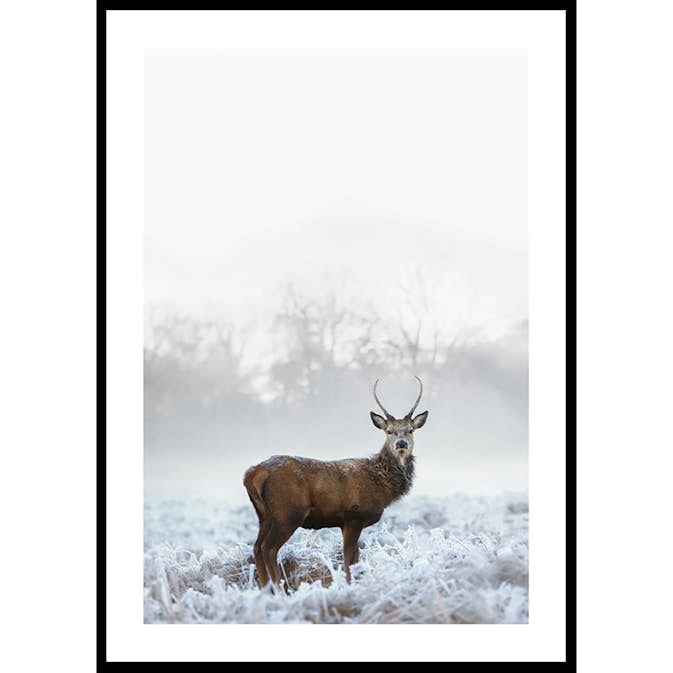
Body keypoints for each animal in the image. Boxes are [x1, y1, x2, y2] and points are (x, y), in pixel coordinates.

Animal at [243, 376, 429, 588]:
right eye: (389, 431)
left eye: (410, 430)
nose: (401, 444)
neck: (383, 486)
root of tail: (254, 473)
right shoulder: (354, 515)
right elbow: (348, 560)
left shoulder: (347, 522)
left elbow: (354, 558)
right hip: (288, 512)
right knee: (268, 548)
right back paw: (279, 588)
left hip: (264, 515)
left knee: (256, 547)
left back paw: (266, 589)